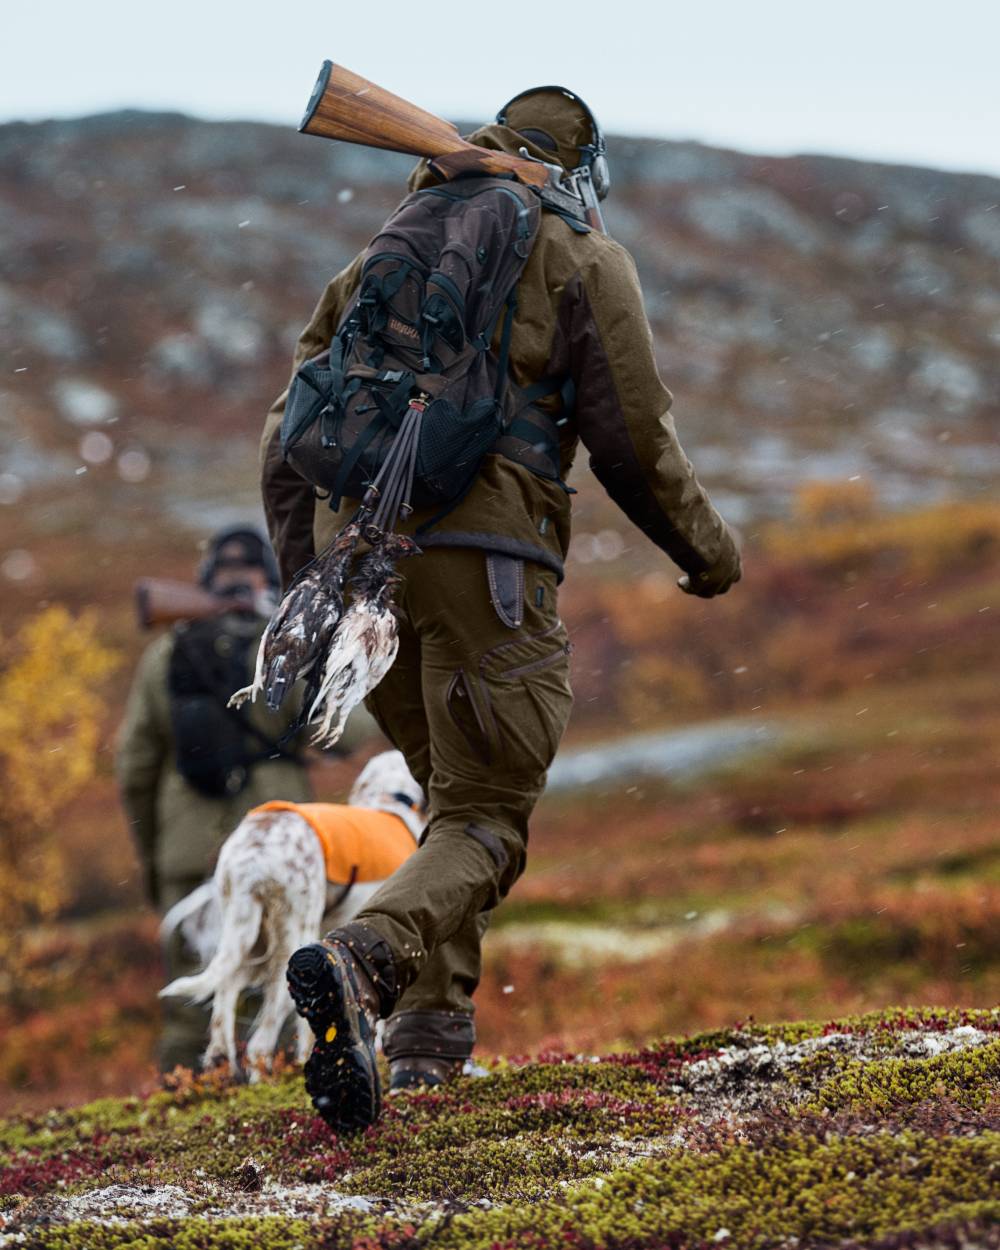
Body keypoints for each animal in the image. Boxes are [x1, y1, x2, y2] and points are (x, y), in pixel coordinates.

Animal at [158, 745, 425, 1080]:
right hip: (292, 942)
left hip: (249, 938)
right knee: (259, 1043)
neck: (388, 800)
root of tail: (255, 855)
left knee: (224, 1007)